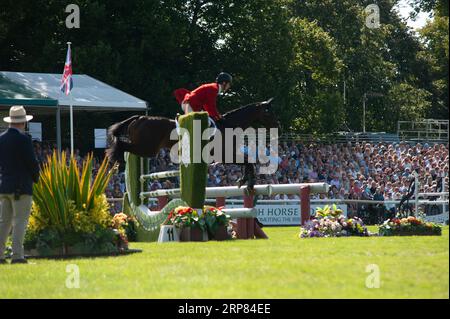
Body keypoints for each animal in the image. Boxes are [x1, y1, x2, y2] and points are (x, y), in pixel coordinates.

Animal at [107, 99, 280, 189]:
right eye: (269, 112)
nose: (278, 125)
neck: (229, 125)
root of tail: (140, 118)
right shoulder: (224, 156)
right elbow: (248, 161)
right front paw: (248, 183)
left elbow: (246, 162)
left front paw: (243, 181)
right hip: (147, 148)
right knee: (122, 146)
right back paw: (116, 161)